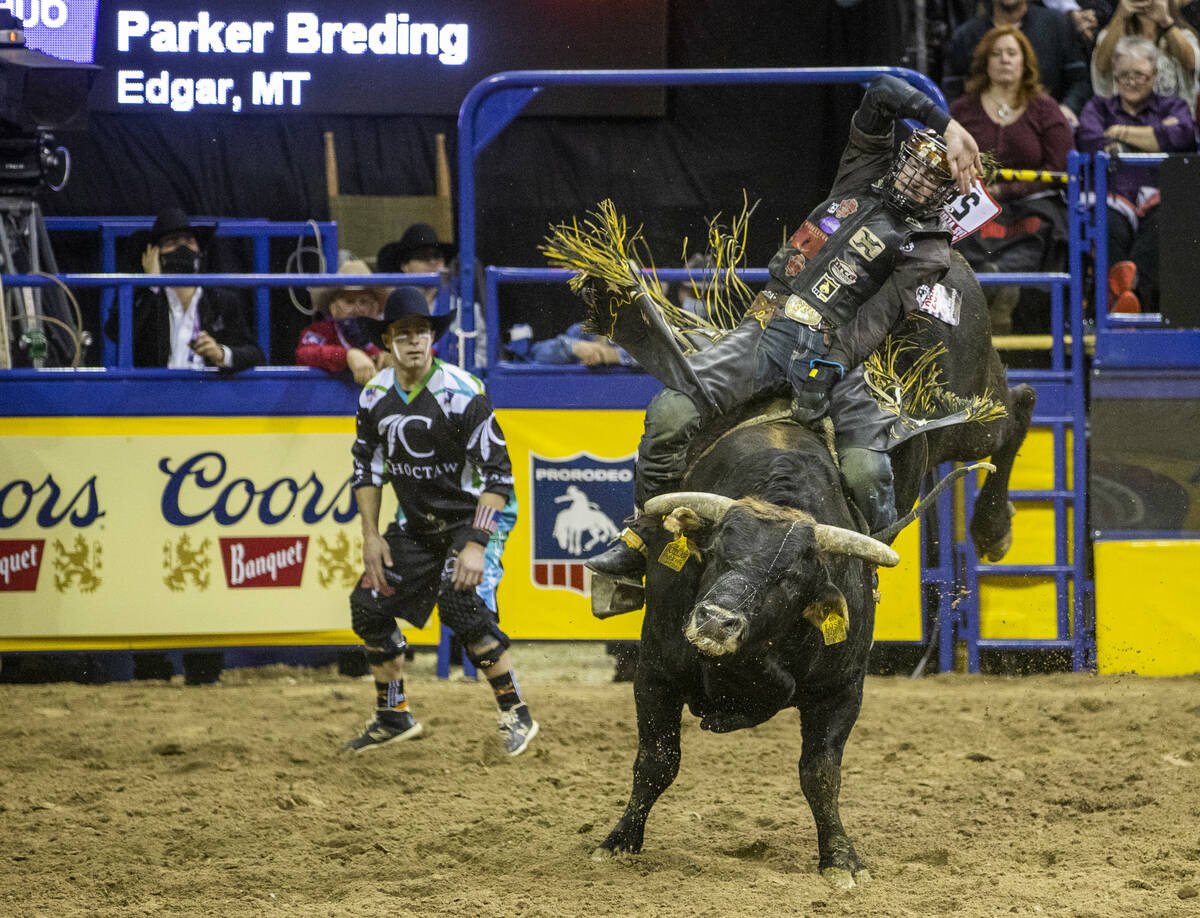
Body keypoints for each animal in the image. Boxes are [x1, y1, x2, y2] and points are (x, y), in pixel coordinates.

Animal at [595, 254, 1036, 883]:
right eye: (717, 551)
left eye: (791, 579)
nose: (715, 622)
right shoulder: (655, 666)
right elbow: (656, 761)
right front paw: (619, 841)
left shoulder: (841, 688)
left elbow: (820, 773)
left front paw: (842, 859)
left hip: (968, 405)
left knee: (1016, 406)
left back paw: (993, 528)